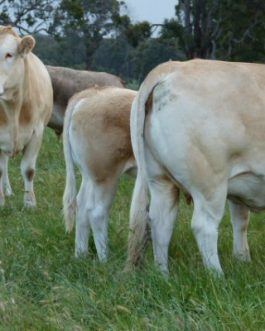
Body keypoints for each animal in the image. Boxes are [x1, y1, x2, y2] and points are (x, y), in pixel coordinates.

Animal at [62, 86, 135, 262]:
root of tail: (93, 92)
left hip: (90, 176)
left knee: (81, 206)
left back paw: (81, 255)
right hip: (106, 175)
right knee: (96, 212)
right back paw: (105, 260)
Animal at [126, 58, 265, 276]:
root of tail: (171, 67)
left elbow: (240, 221)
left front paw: (243, 261)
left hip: (159, 179)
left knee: (160, 222)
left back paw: (163, 275)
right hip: (210, 182)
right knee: (204, 226)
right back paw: (218, 277)